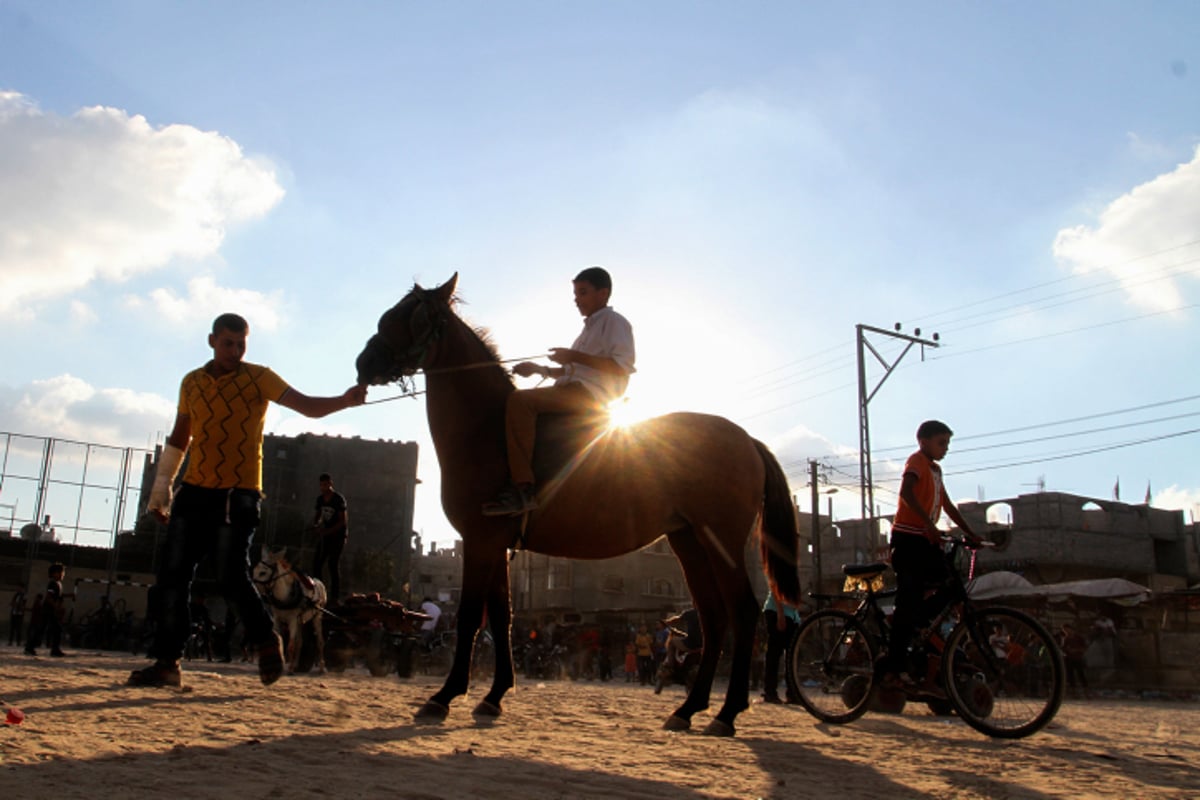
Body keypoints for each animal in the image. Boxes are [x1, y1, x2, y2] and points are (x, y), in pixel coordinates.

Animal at [355, 275, 806, 738]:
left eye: (412, 317)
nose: (364, 363)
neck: (486, 429)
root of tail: (745, 439)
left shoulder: (480, 541)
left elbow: (469, 618)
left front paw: (444, 697)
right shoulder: (494, 543)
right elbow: (501, 618)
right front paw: (493, 696)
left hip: (723, 543)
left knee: (743, 612)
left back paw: (727, 711)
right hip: (690, 541)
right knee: (713, 617)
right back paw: (689, 708)